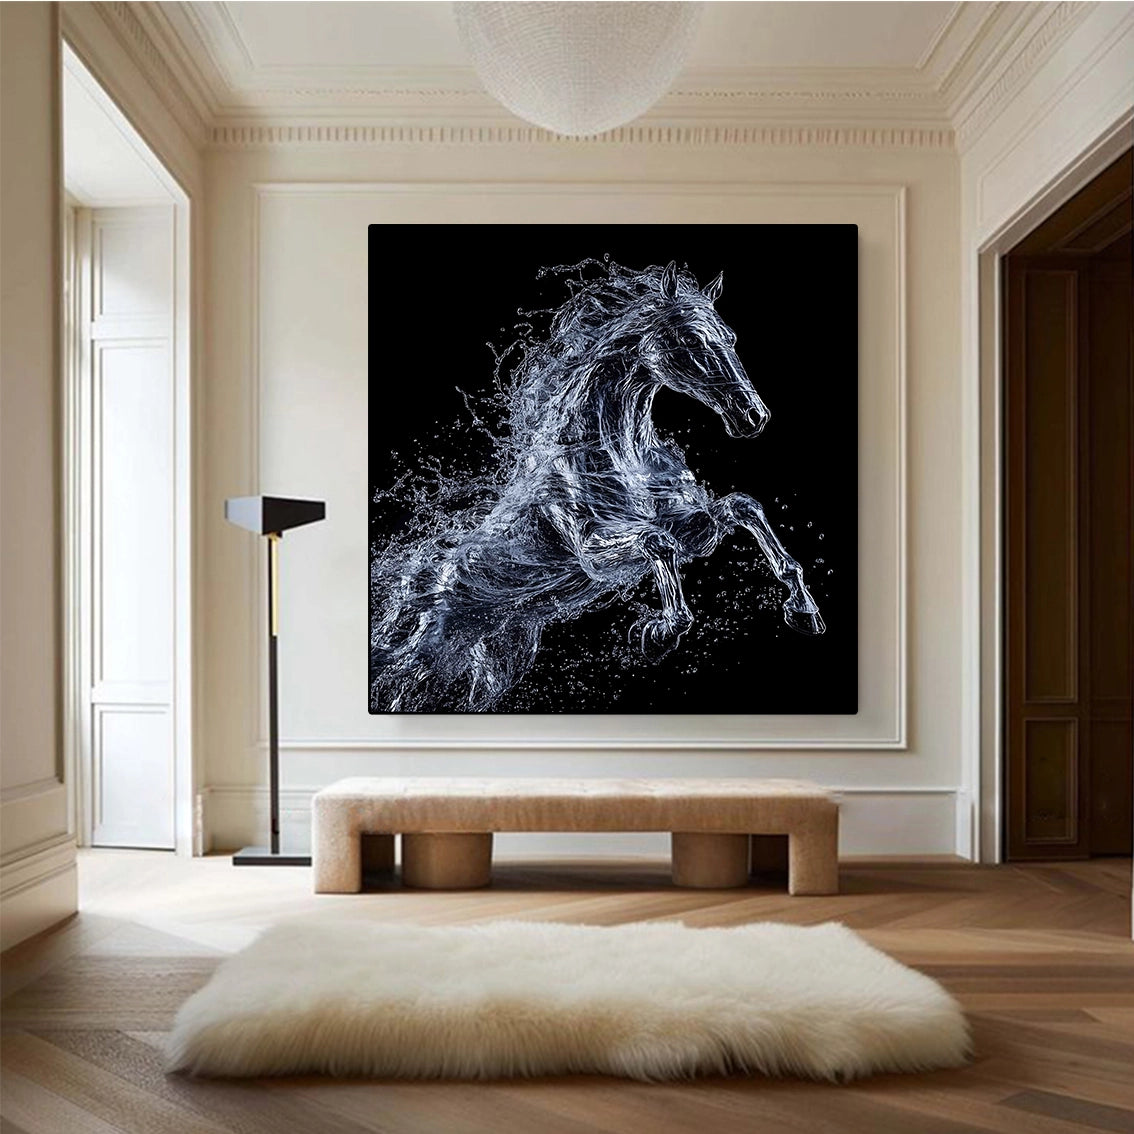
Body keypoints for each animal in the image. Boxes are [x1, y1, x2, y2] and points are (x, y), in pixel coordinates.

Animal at [369, 257, 825, 712]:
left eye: (730, 337)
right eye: (690, 338)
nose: (753, 417)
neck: (619, 458)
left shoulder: (693, 527)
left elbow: (743, 507)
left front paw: (804, 610)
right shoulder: (594, 551)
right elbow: (657, 542)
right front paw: (657, 634)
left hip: (494, 661)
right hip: (423, 655)